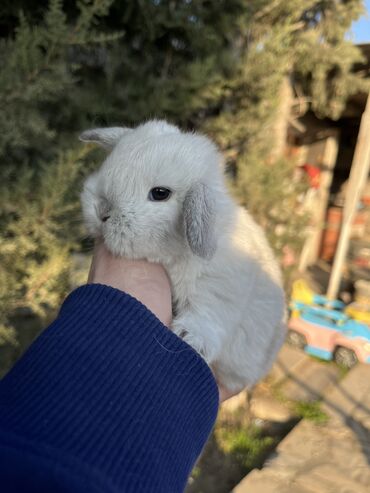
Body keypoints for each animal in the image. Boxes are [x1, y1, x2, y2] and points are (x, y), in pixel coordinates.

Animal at [80, 120, 286, 392]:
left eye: (160, 193)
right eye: (108, 164)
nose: (102, 211)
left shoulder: (218, 289)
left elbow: (208, 313)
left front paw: (188, 337)